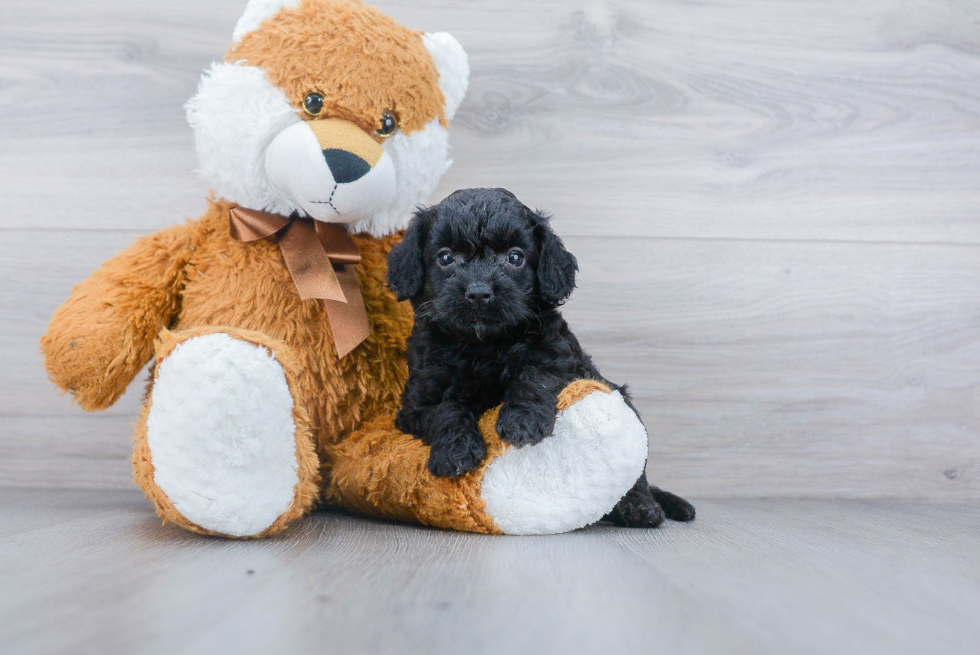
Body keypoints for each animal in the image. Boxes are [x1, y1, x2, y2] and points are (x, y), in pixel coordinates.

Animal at [386, 190, 692, 528]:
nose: (479, 292)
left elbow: (537, 374)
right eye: (445, 258)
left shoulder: (560, 356)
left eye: (515, 257)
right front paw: (456, 450)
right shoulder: (415, 404)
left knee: (636, 473)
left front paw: (522, 420)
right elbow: (444, 409)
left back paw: (640, 506)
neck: (482, 345)